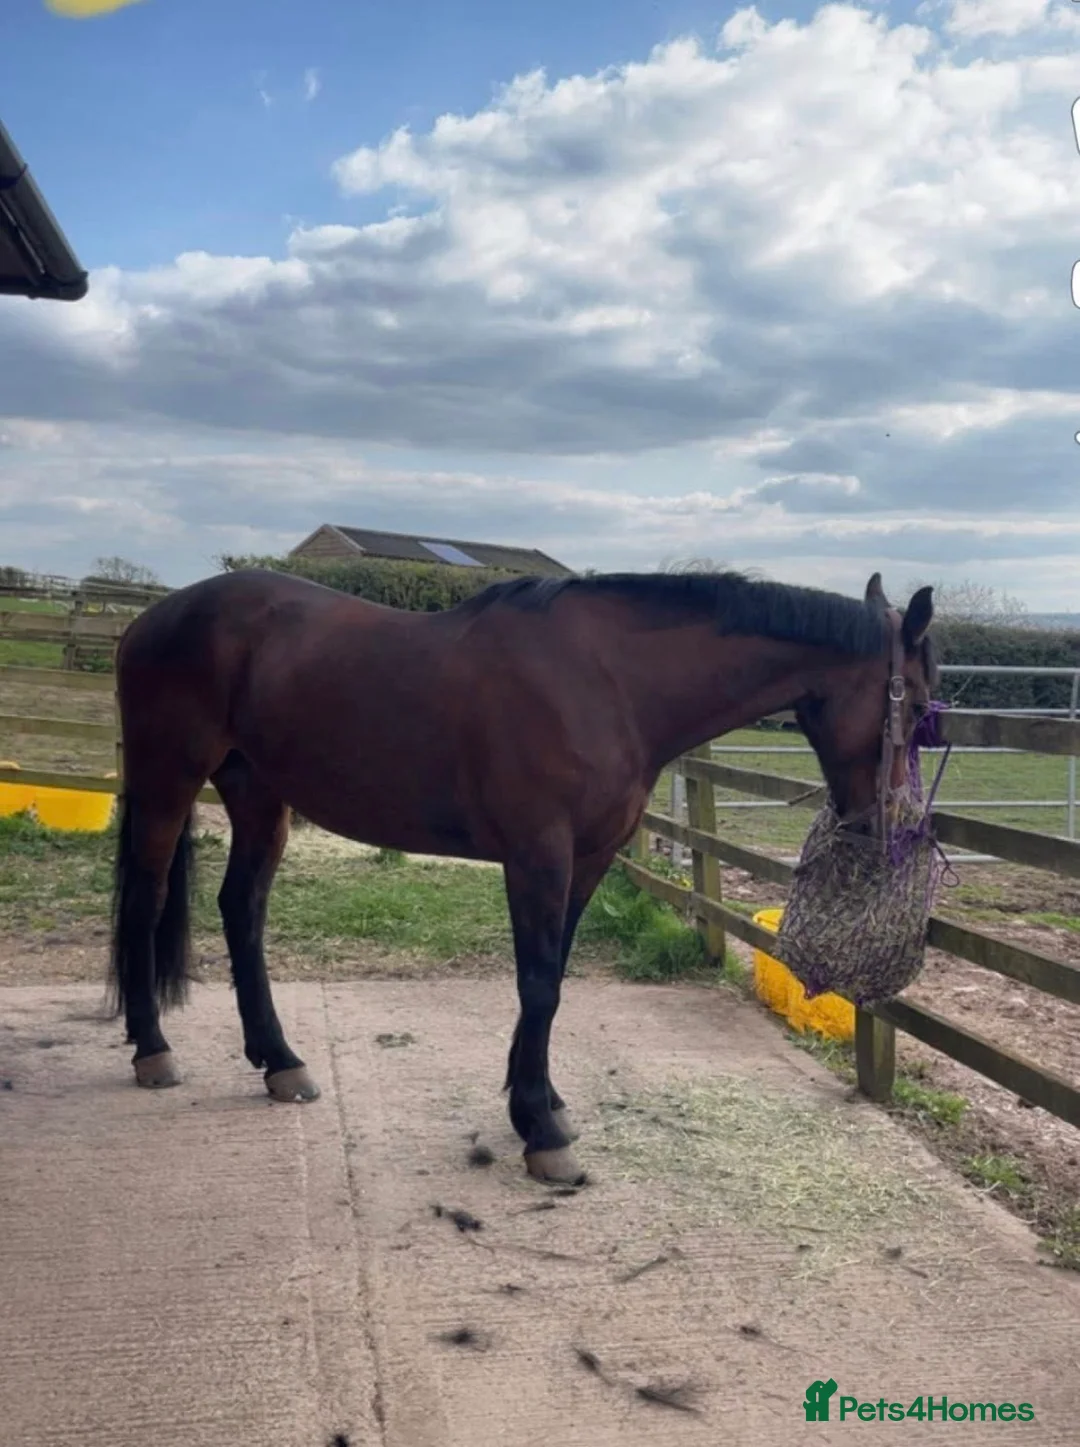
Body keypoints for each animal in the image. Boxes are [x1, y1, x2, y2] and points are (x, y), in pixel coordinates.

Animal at [107, 565, 935, 1185]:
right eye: (923, 706)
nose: (889, 828)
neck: (611, 680)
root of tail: (153, 618)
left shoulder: (588, 858)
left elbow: (555, 976)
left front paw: (541, 1103)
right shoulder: (539, 853)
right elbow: (538, 982)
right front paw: (541, 1132)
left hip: (257, 792)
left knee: (241, 908)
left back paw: (280, 1061)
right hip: (168, 778)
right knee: (146, 901)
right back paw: (153, 1049)